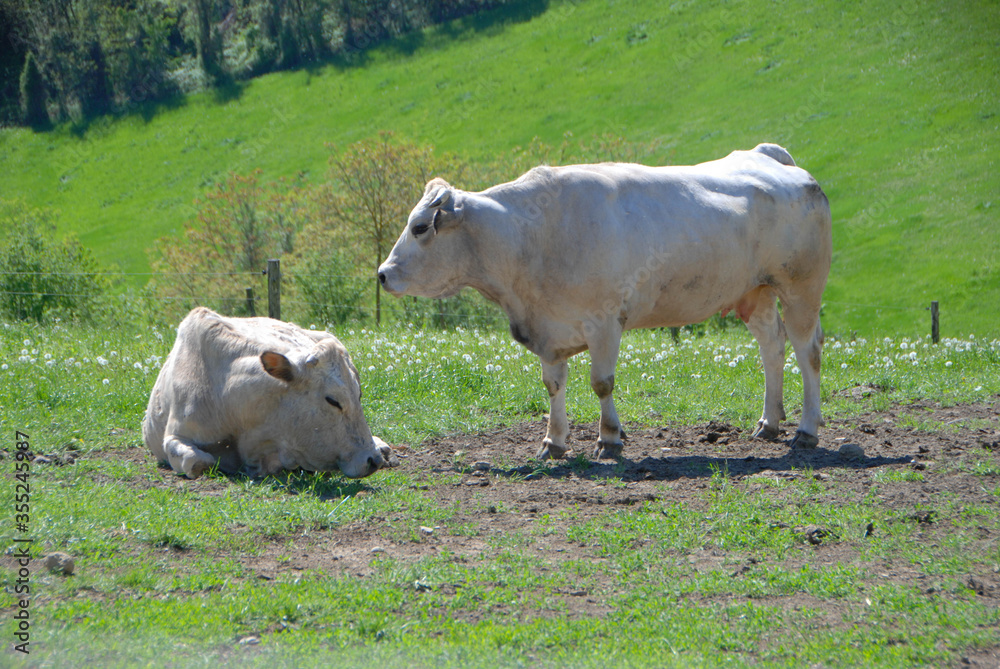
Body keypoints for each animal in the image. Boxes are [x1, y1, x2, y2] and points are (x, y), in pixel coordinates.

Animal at [378, 143, 832, 460]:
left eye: (420, 228)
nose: (382, 274)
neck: (530, 238)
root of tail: (767, 156)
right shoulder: (550, 328)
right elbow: (553, 385)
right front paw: (553, 442)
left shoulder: (605, 322)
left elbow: (601, 383)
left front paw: (610, 438)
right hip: (755, 292)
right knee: (772, 347)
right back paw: (769, 423)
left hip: (802, 288)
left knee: (807, 350)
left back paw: (807, 429)